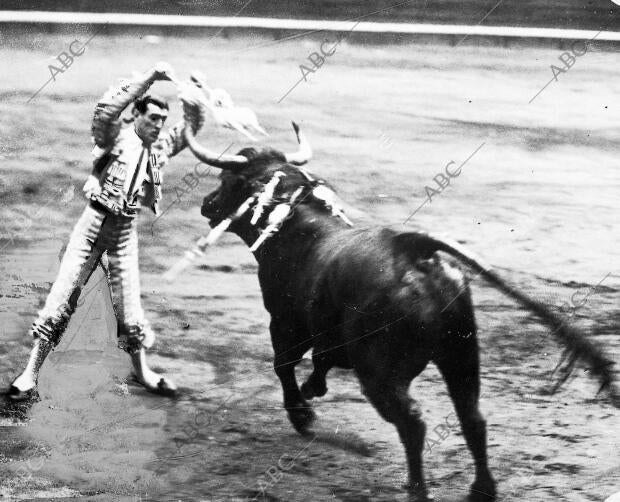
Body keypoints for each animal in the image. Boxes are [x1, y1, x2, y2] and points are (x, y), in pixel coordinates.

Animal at [182, 122, 616, 502]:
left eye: (227, 181)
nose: (206, 205)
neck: (295, 223)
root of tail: (410, 247)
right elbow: (319, 361)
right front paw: (313, 390)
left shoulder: (284, 322)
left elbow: (283, 365)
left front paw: (302, 415)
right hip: (461, 355)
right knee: (472, 417)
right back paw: (481, 490)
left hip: (382, 373)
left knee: (412, 421)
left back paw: (417, 489)